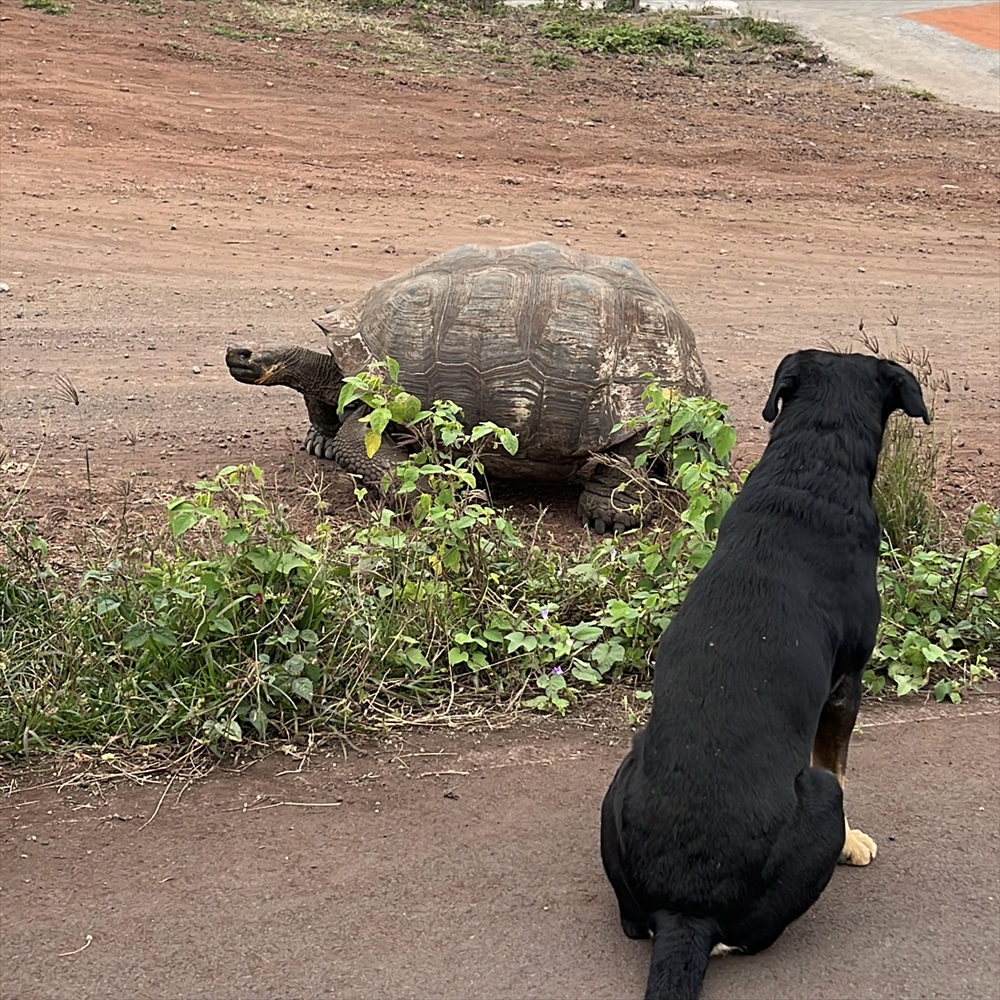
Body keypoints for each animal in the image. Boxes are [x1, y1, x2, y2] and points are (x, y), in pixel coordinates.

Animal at [600, 352, 928, 1000]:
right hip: (813, 803)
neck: (810, 472)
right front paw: (852, 841)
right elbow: (838, 763)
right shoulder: (845, 683)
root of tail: (686, 914)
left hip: (625, 771)